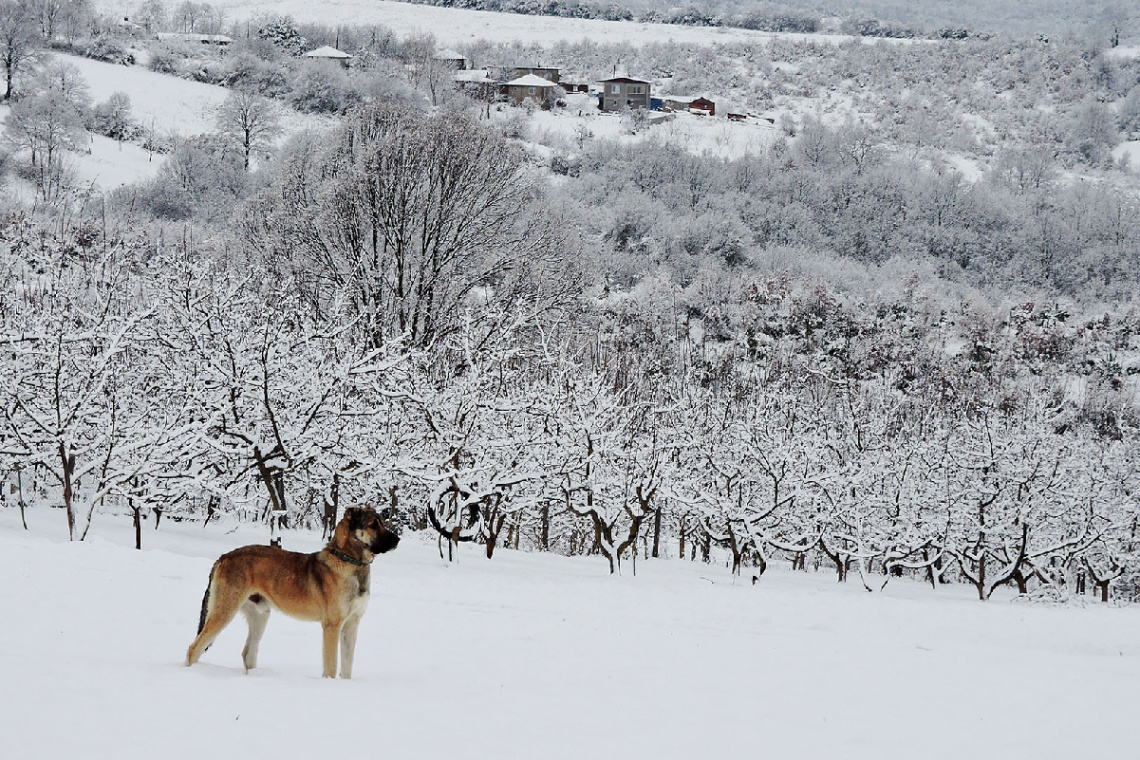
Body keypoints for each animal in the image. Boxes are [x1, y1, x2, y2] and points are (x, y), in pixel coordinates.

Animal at [185, 505, 401, 679]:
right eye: (373, 524)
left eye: (382, 522)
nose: (398, 539)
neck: (350, 561)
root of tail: (223, 557)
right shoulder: (332, 625)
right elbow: (331, 666)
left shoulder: (352, 625)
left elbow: (347, 666)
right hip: (224, 610)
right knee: (194, 648)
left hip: (260, 615)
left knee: (248, 653)